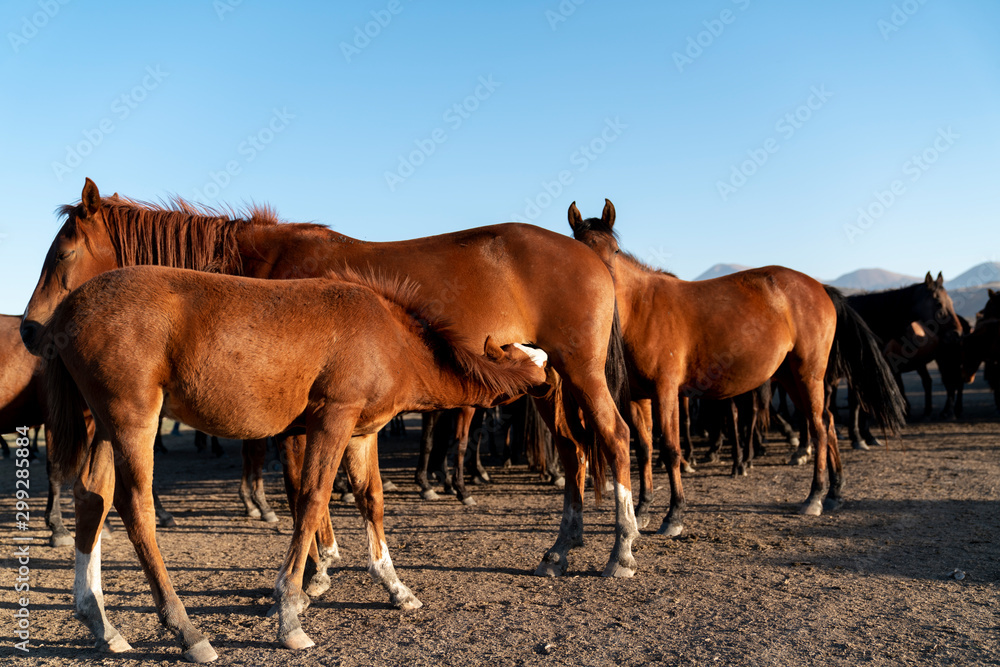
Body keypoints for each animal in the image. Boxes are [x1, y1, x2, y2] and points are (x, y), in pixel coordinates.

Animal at [22, 178, 634, 579]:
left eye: (64, 252)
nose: (29, 330)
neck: (263, 270)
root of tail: (590, 258)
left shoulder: (305, 413)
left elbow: (303, 487)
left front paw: (316, 566)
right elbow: (314, 486)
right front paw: (326, 556)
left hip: (580, 371)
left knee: (615, 437)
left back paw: (621, 550)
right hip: (550, 382)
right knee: (573, 449)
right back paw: (562, 547)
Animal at [42, 265, 550, 661]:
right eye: (542, 366)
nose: (551, 392)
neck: (390, 336)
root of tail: (68, 309)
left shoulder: (361, 433)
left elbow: (370, 500)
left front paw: (394, 586)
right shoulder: (333, 419)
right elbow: (311, 501)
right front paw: (289, 612)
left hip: (104, 425)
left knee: (92, 498)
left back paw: (100, 622)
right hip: (133, 420)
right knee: (135, 507)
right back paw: (186, 631)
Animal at [567, 201, 906, 533]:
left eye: (614, 250)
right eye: (579, 249)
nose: (598, 289)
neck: (643, 308)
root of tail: (820, 287)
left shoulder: (667, 392)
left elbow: (671, 449)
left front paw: (674, 514)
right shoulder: (640, 397)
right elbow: (644, 449)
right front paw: (643, 509)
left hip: (808, 375)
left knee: (820, 428)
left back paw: (815, 496)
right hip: (791, 378)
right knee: (828, 421)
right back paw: (835, 492)